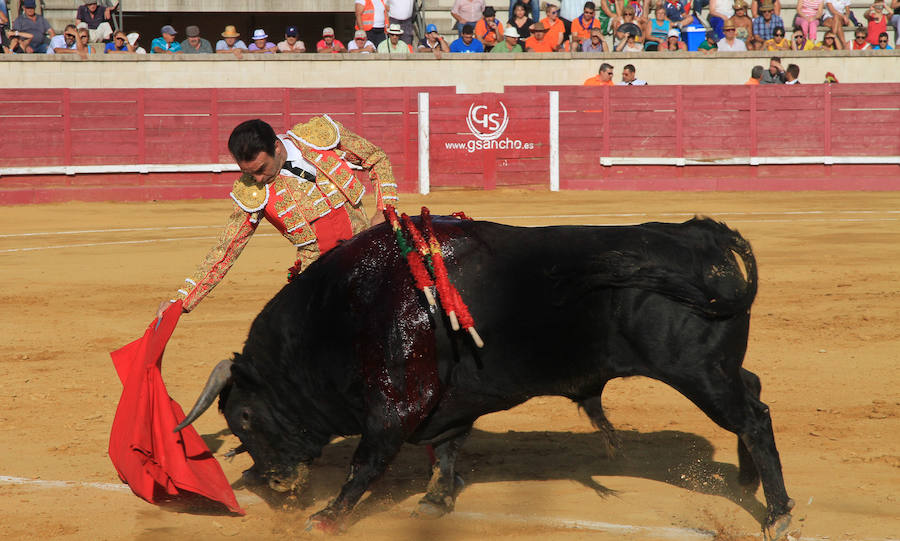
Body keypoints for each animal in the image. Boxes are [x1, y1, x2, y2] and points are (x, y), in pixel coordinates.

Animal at [176, 216, 796, 540]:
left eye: (245, 415)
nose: (277, 484)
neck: (344, 313)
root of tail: (700, 233)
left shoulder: (395, 406)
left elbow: (366, 463)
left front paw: (325, 517)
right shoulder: (446, 406)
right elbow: (448, 452)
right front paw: (435, 503)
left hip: (697, 373)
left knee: (755, 417)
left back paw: (779, 512)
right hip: (717, 369)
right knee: (755, 387)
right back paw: (747, 483)